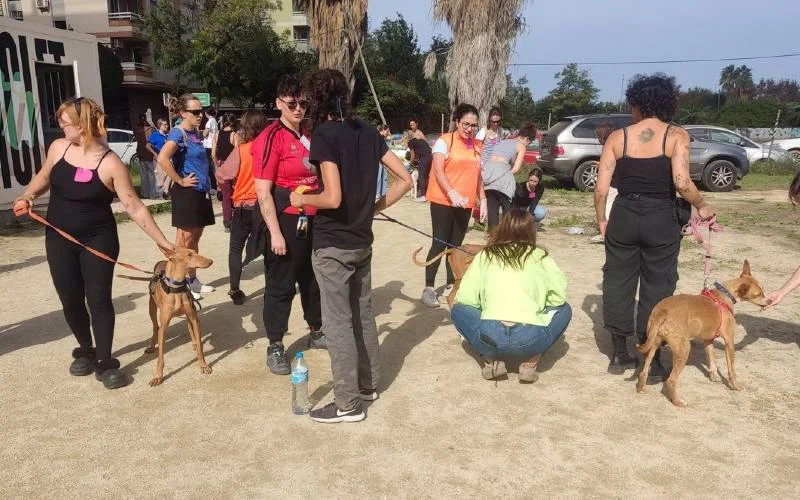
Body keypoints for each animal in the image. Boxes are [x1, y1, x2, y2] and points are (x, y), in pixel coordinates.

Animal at [636, 260, 768, 408]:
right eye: (758, 294)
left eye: (763, 290)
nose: (769, 301)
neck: (725, 295)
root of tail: (662, 311)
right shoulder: (729, 342)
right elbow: (731, 369)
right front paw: (735, 386)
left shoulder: (708, 340)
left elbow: (712, 359)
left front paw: (714, 376)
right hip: (683, 349)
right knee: (671, 381)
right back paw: (678, 402)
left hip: (653, 344)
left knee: (644, 371)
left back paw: (641, 388)